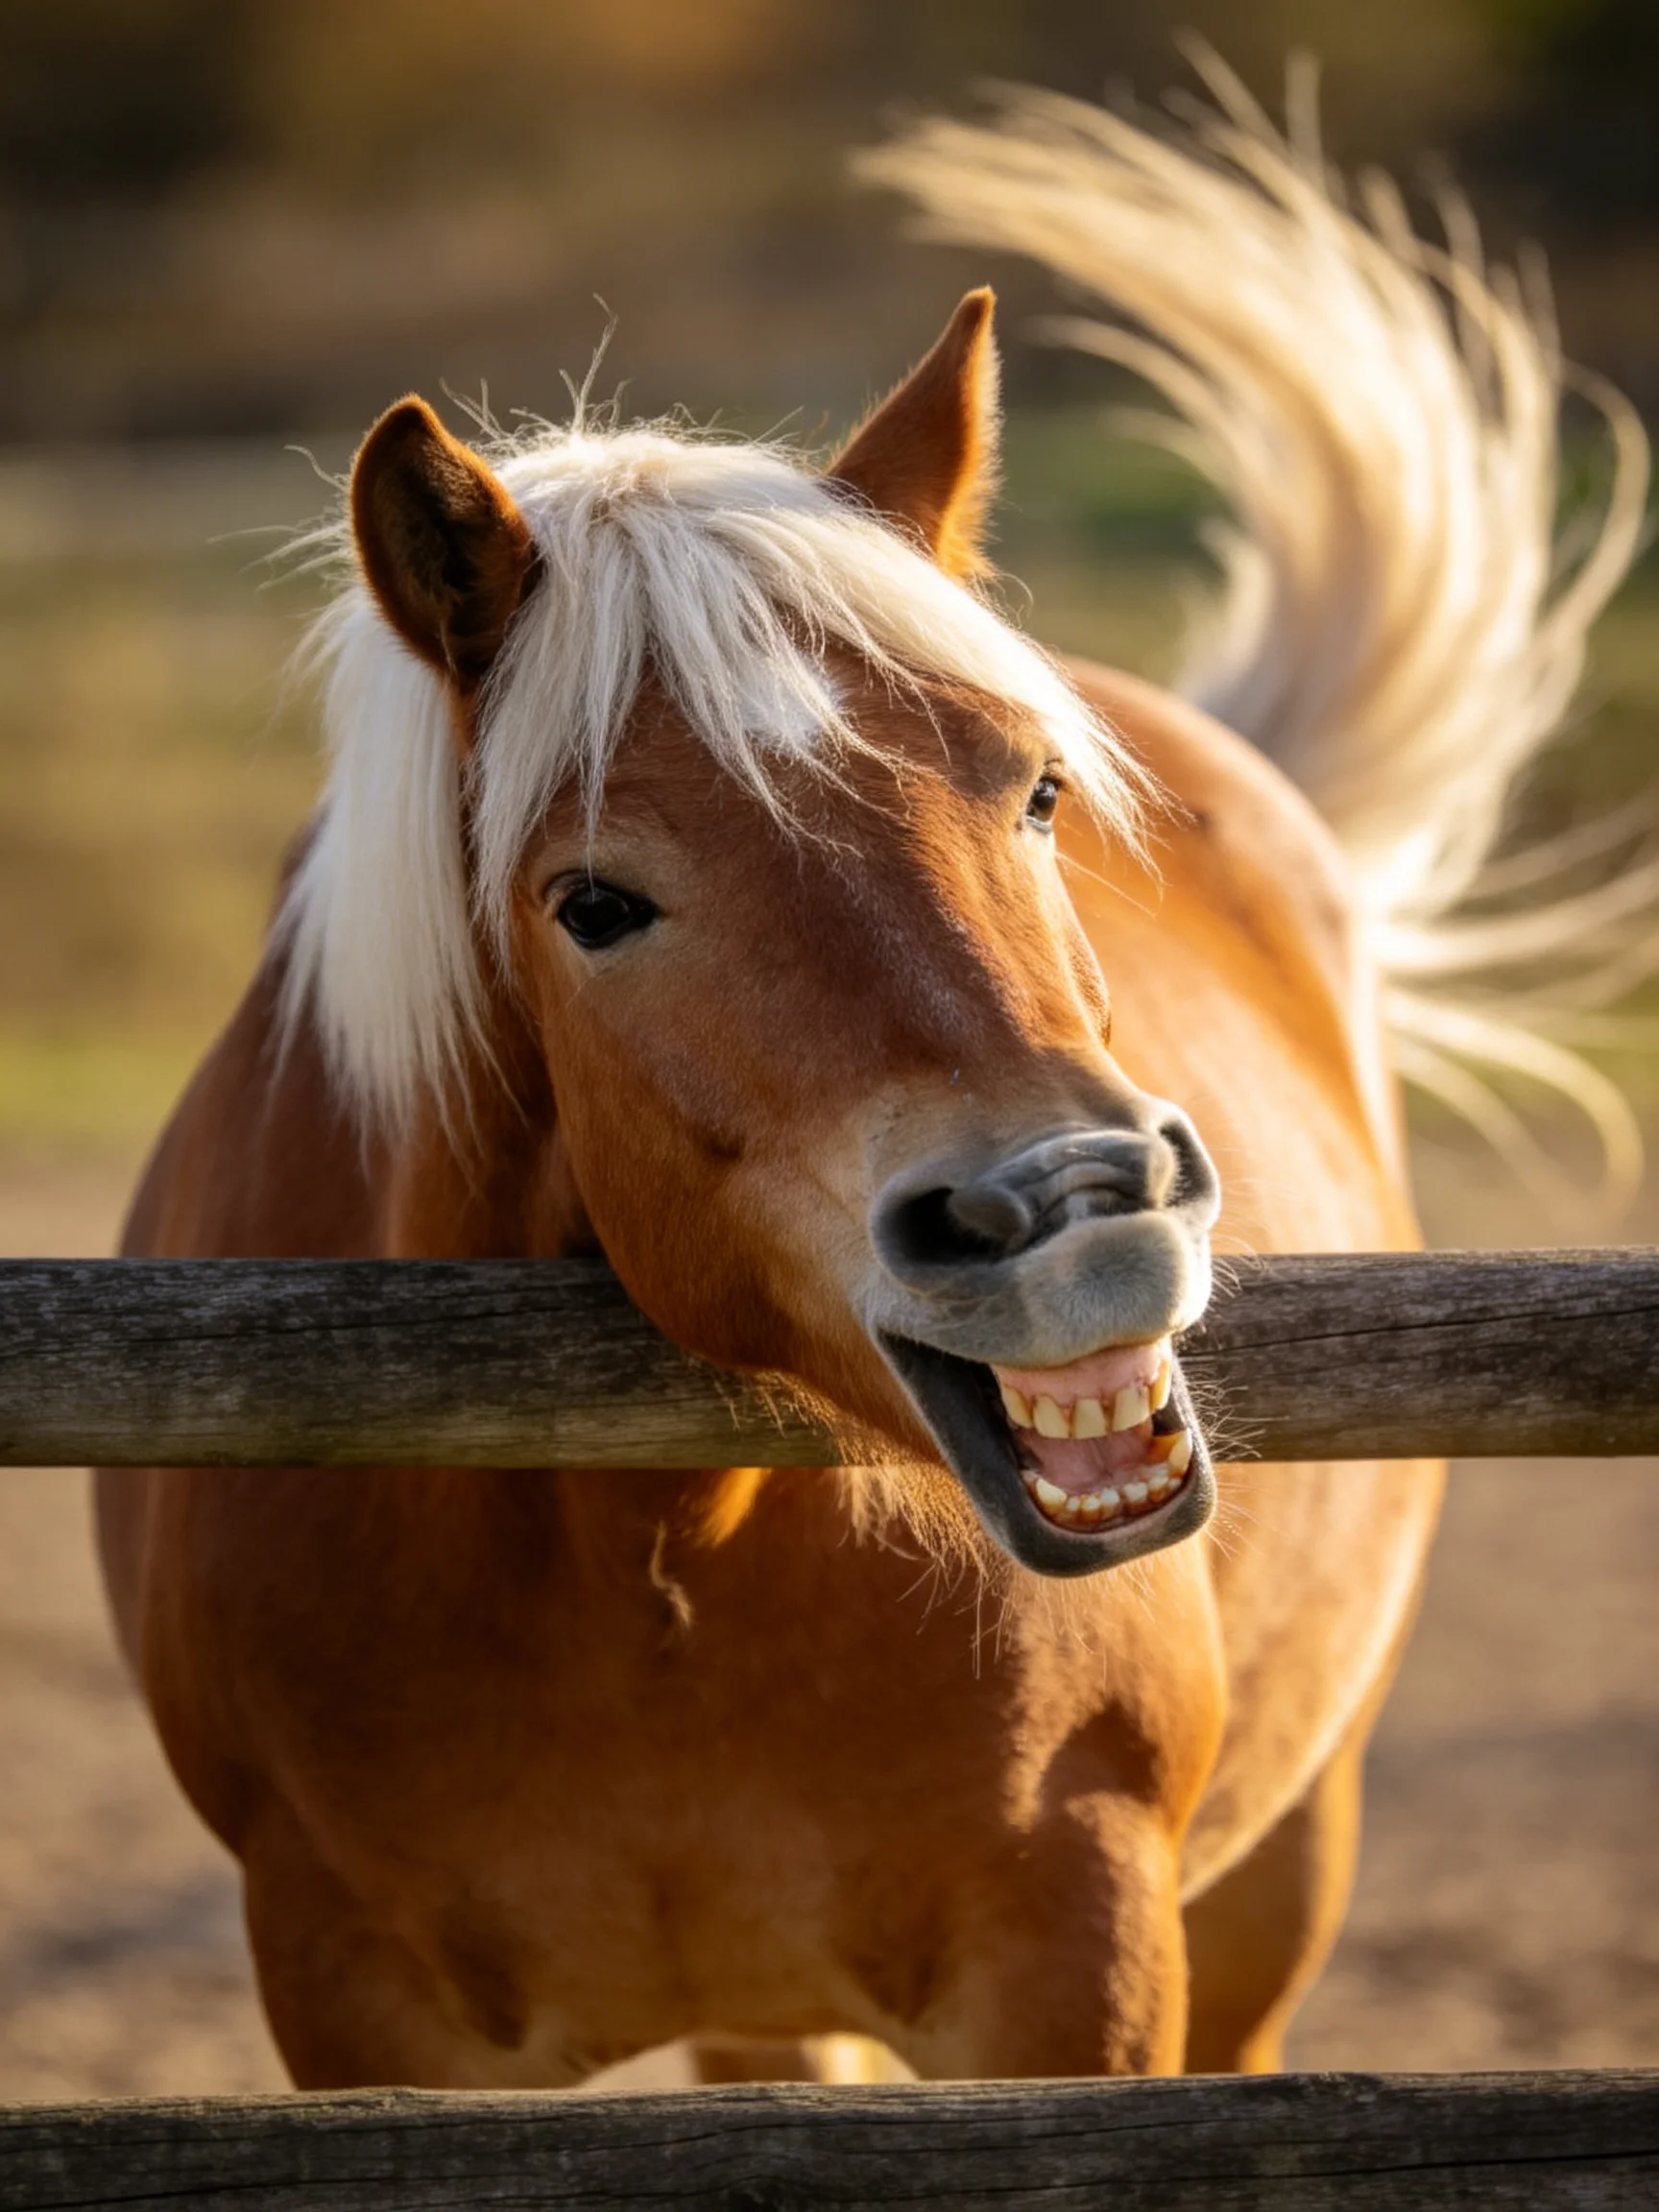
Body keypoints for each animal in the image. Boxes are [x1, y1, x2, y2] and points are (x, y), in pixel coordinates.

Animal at [96, 70, 1646, 2087]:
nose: (1074, 1214)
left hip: (1272, 1880)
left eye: (1037, 789)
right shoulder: (368, 2010)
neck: (636, 1563)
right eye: (595, 902)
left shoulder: (1074, 1969)